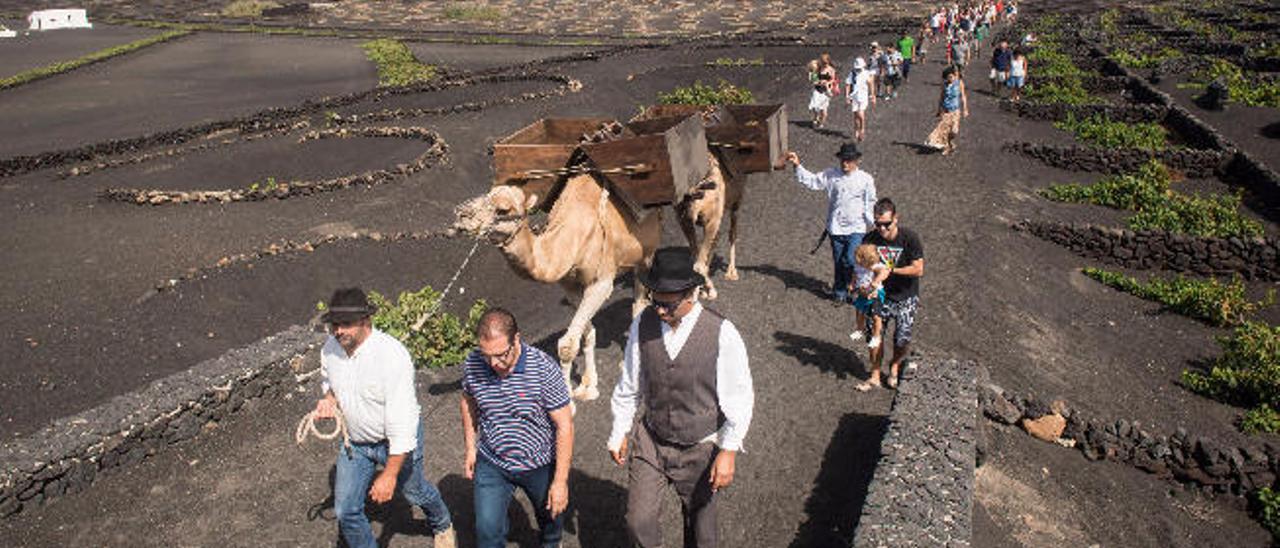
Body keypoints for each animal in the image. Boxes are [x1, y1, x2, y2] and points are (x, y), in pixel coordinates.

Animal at [453, 172, 660, 399]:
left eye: (503, 210)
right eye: (486, 196)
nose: (461, 215)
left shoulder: (601, 282)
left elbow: (566, 345)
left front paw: (568, 398)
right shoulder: (571, 288)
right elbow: (587, 333)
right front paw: (588, 386)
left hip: (650, 248)